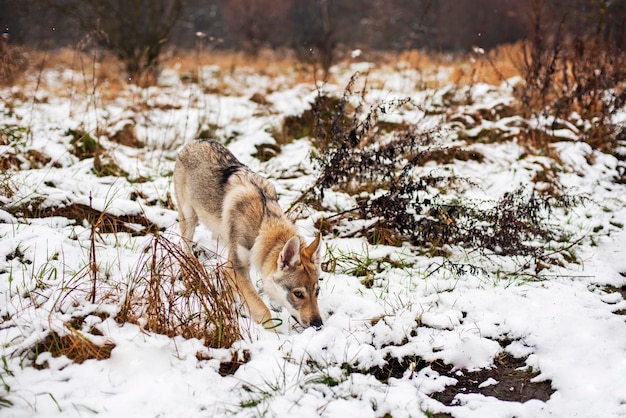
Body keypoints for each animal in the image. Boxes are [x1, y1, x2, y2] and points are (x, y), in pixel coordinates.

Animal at [173, 140, 324, 330]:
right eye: (298, 294)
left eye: (317, 291)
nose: (318, 324)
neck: (262, 224)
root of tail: (195, 141)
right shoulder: (235, 267)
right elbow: (262, 310)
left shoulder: (232, 267)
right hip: (189, 219)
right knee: (185, 250)